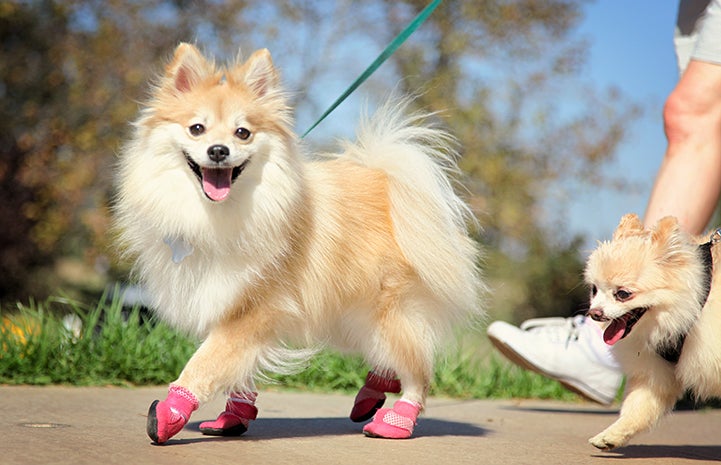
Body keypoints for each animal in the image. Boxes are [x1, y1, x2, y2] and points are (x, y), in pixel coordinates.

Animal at [112, 42, 484, 442]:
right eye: (197, 128)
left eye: (243, 133)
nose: (218, 150)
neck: (219, 212)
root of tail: (390, 183)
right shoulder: (242, 309)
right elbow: (239, 368)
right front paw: (233, 417)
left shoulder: (251, 307)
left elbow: (205, 362)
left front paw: (169, 414)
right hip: (351, 314)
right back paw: (374, 390)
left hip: (388, 310)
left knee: (417, 369)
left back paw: (396, 419)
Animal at [584, 214, 720, 450]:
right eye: (594, 290)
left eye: (623, 294)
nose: (594, 313)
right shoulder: (656, 375)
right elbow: (636, 409)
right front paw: (611, 435)